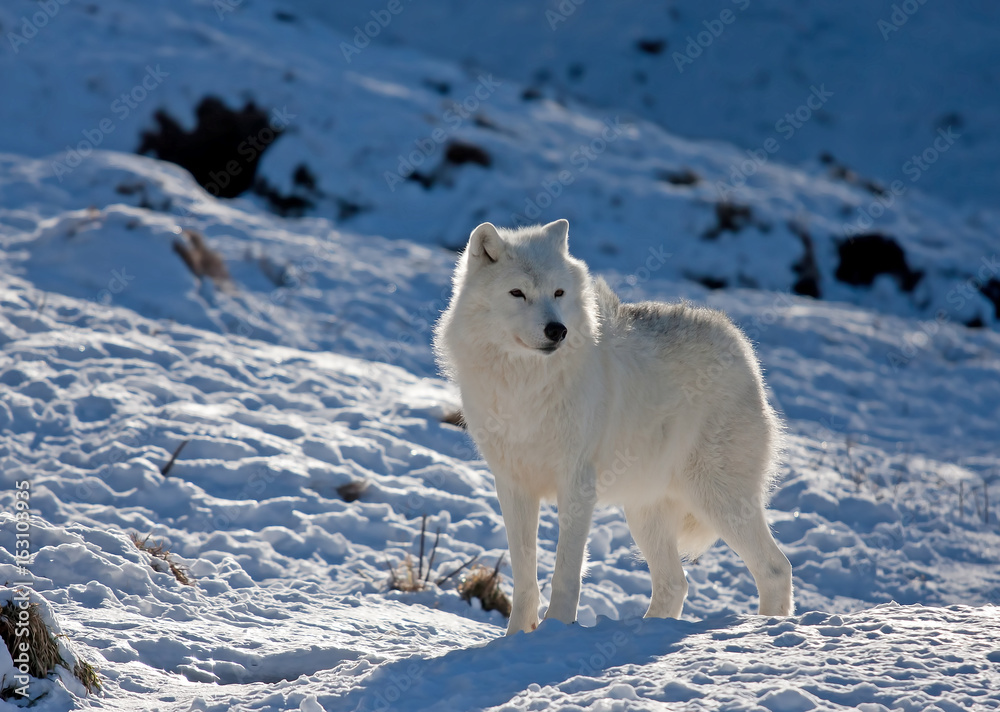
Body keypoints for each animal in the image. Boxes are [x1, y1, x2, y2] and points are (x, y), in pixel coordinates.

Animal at [434, 219, 793, 635]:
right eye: (517, 293)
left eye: (558, 292)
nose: (557, 330)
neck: (525, 385)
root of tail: (741, 347)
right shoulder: (512, 485)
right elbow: (525, 576)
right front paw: (516, 639)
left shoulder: (576, 485)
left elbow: (565, 573)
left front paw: (556, 631)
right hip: (644, 512)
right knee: (675, 584)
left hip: (718, 499)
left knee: (775, 569)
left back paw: (765, 632)